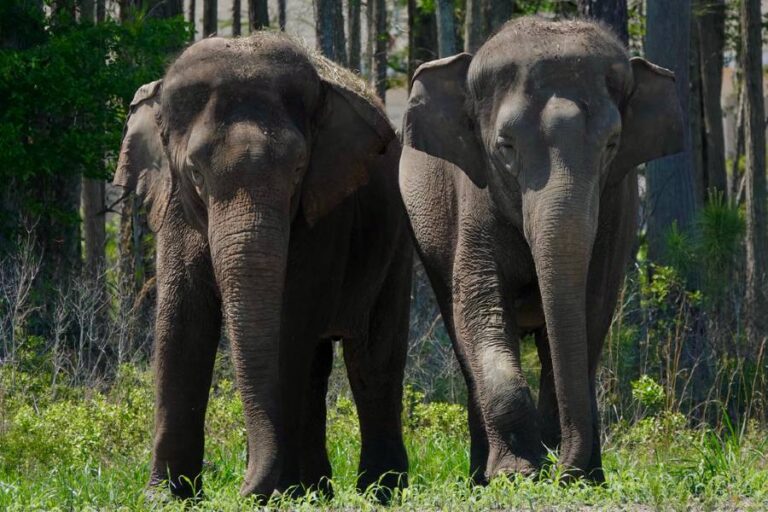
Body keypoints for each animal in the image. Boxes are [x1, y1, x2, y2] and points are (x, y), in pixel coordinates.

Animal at [113, 34, 411, 501]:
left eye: (298, 169)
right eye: (195, 172)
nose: (241, 487)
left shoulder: (326, 209)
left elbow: (290, 324)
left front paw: (275, 493)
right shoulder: (175, 207)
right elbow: (181, 321)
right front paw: (165, 497)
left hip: (396, 239)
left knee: (371, 360)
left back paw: (376, 492)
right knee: (318, 364)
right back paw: (316, 491)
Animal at [399, 17, 684, 483]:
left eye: (612, 144)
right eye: (506, 146)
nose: (560, 469)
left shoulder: (618, 206)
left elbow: (591, 309)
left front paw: (575, 477)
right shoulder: (474, 199)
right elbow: (479, 309)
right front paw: (516, 474)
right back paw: (480, 478)